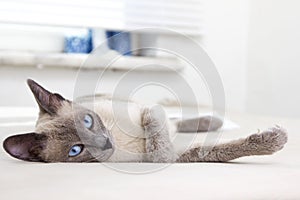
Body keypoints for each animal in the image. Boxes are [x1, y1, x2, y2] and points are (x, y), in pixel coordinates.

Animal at [2, 79, 288, 162]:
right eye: (75, 150)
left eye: (87, 121)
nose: (106, 144)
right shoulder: (181, 156)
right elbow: (213, 151)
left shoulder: (149, 110)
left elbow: (157, 131)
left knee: (175, 119)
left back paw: (212, 121)